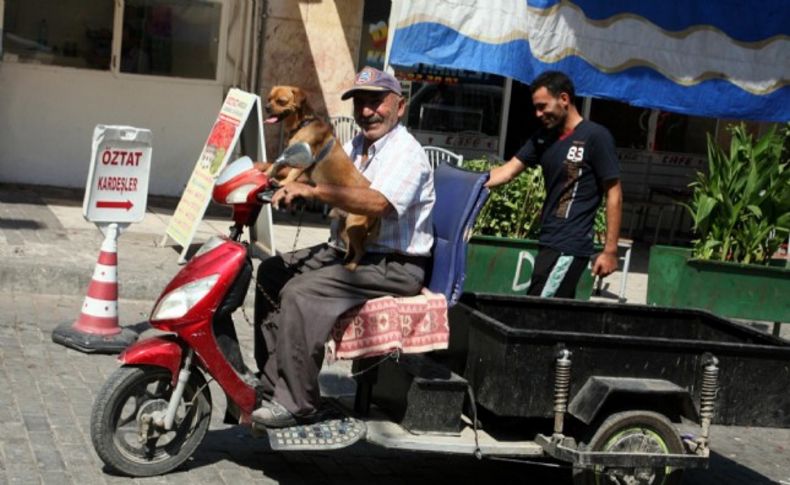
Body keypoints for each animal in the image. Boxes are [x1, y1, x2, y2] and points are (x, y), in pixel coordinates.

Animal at [262, 85, 380, 270]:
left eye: (281, 101)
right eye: (269, 99)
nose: (267, 107)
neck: (302, 124)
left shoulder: (304, 160)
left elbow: (292, 173)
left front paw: (283, 183)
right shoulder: (289, 158)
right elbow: (275, 167)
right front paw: (264, 173)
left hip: (353, 226)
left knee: (361, 250)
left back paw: (351, 267)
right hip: (344, 229)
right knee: (351, 248)